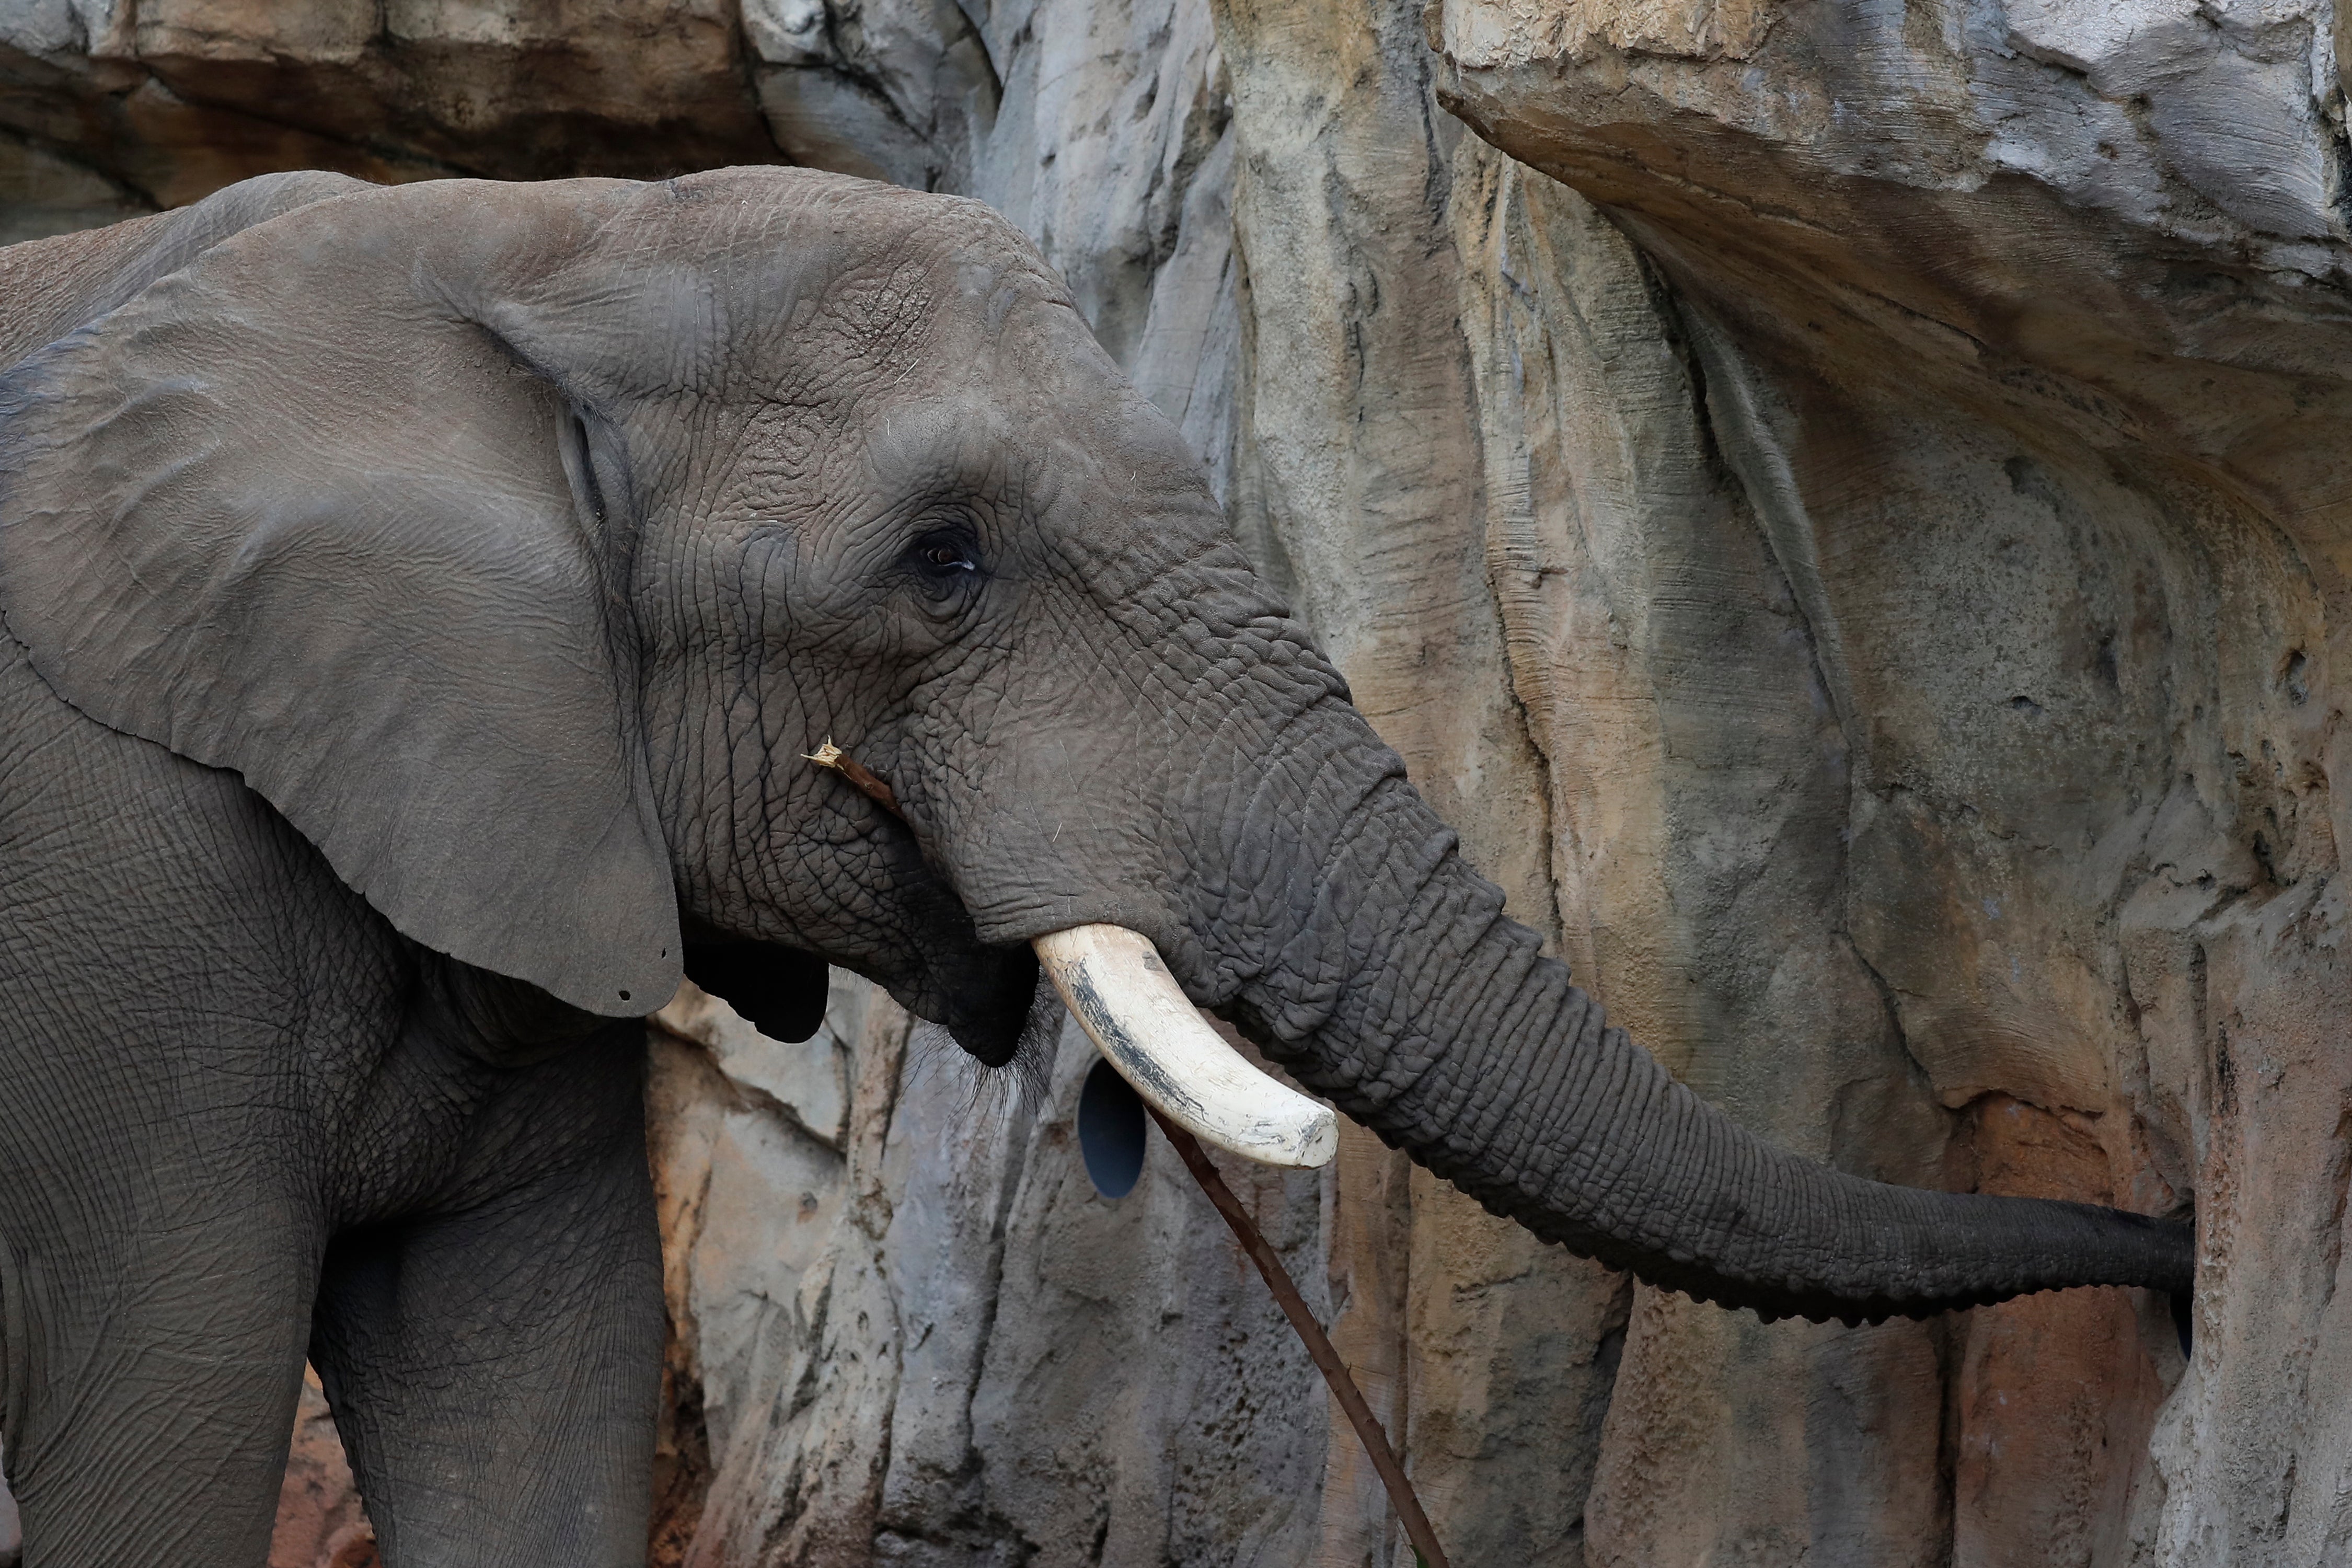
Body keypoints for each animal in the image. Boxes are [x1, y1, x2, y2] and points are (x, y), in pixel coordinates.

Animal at [0, 167, 2191, 1567]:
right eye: (943, 559)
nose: (2178, 1245)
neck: (510, 241)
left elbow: (527, 1399)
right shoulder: (143, 891)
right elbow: (168, 1423)